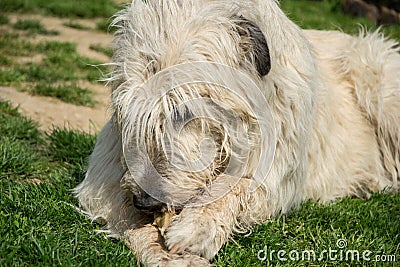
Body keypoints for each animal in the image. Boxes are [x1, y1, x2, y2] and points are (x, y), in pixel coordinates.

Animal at [73, 0, 398, 266]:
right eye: (132, 110)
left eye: (184, 111)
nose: (144, 201)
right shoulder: (106, 173)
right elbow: (118, 206)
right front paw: (162, 252)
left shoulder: (280, 169)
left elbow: (241, 185)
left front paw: (198, 227)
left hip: (376, 75)